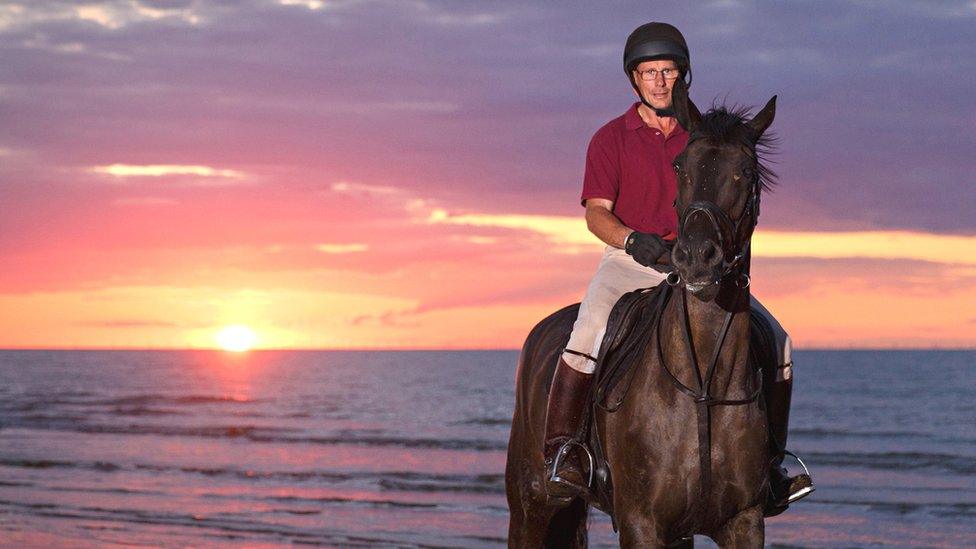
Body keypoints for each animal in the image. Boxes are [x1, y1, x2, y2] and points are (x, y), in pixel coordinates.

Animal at [510, 82, 776, 548]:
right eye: (680, 166)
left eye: (746, 170)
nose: (696, 257)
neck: (702, 384)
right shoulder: (641, 522)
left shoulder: (744, 521)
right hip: (530, 507)